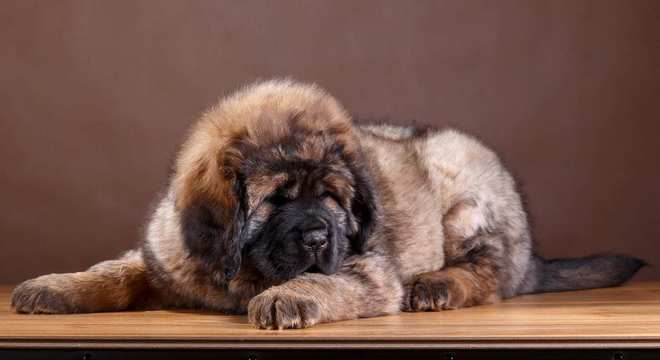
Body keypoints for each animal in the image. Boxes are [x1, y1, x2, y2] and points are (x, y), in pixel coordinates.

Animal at [12, 79, 648, 330]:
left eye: (334, 198)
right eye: (275, 200)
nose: (320, 236)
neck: (235, 272)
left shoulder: (365, 267)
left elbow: (325, 280)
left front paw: (287, 298)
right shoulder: (164, 255)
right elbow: (113, 270)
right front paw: (55, 286)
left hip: (463, 188)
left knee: (490, 274)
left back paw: (437, 285)